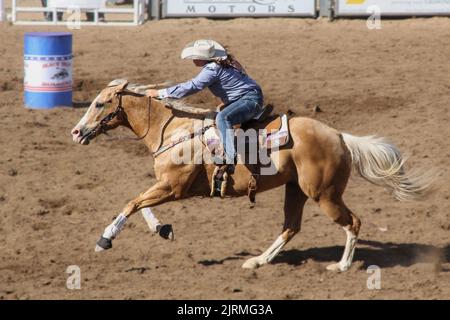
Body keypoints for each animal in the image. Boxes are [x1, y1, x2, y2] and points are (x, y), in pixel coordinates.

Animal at [69, 79, 432, 272]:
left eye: (100, 104)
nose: (75, 132)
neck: (174, 130)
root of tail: (340, 136)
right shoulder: (166, 187)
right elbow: (140, 205)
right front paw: (164, 230)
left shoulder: (173, 187)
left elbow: (132, 203)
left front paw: (105, 240)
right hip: (296, 190)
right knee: (291, 227)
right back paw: (258, 261)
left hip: (324, 194)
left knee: (352, 222)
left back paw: (341, 266)